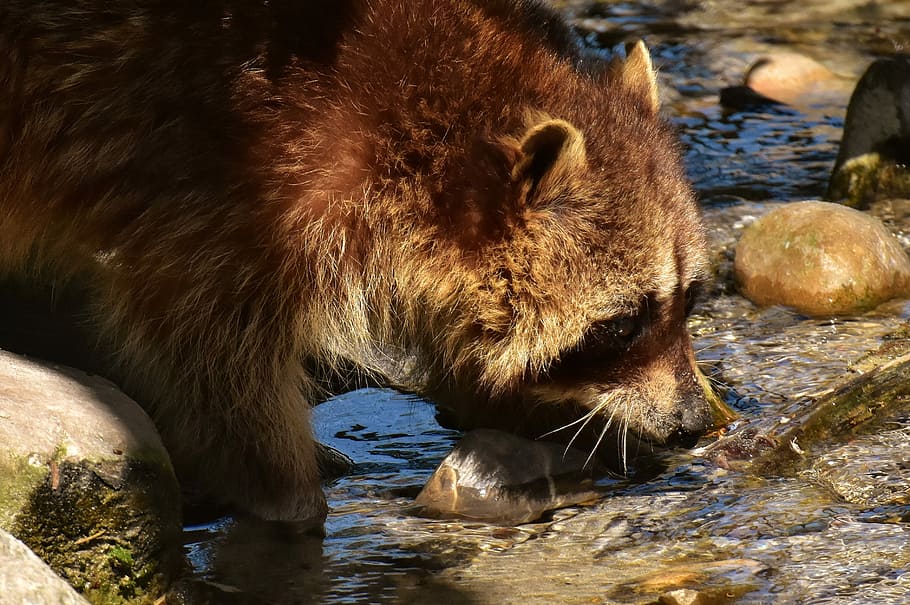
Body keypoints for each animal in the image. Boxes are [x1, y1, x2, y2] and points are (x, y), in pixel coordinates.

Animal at [0, 0, 712, 520]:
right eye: (623, 324)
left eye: (690, 298)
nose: (694, 424)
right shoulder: (230, 189)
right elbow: (207, 356)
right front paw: (285, 490)